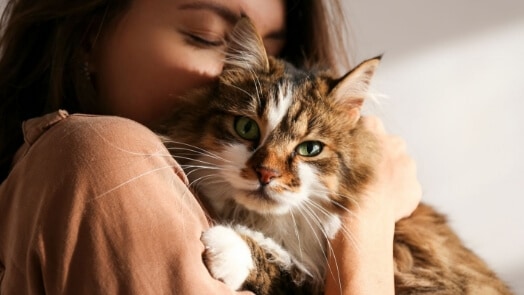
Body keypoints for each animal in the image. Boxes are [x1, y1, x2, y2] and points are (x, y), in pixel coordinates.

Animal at [159, 18, 512, 295]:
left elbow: (289, 269)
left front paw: (228, 247)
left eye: (310, 149)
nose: (266, 174)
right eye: (246, 128)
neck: (273, 224)